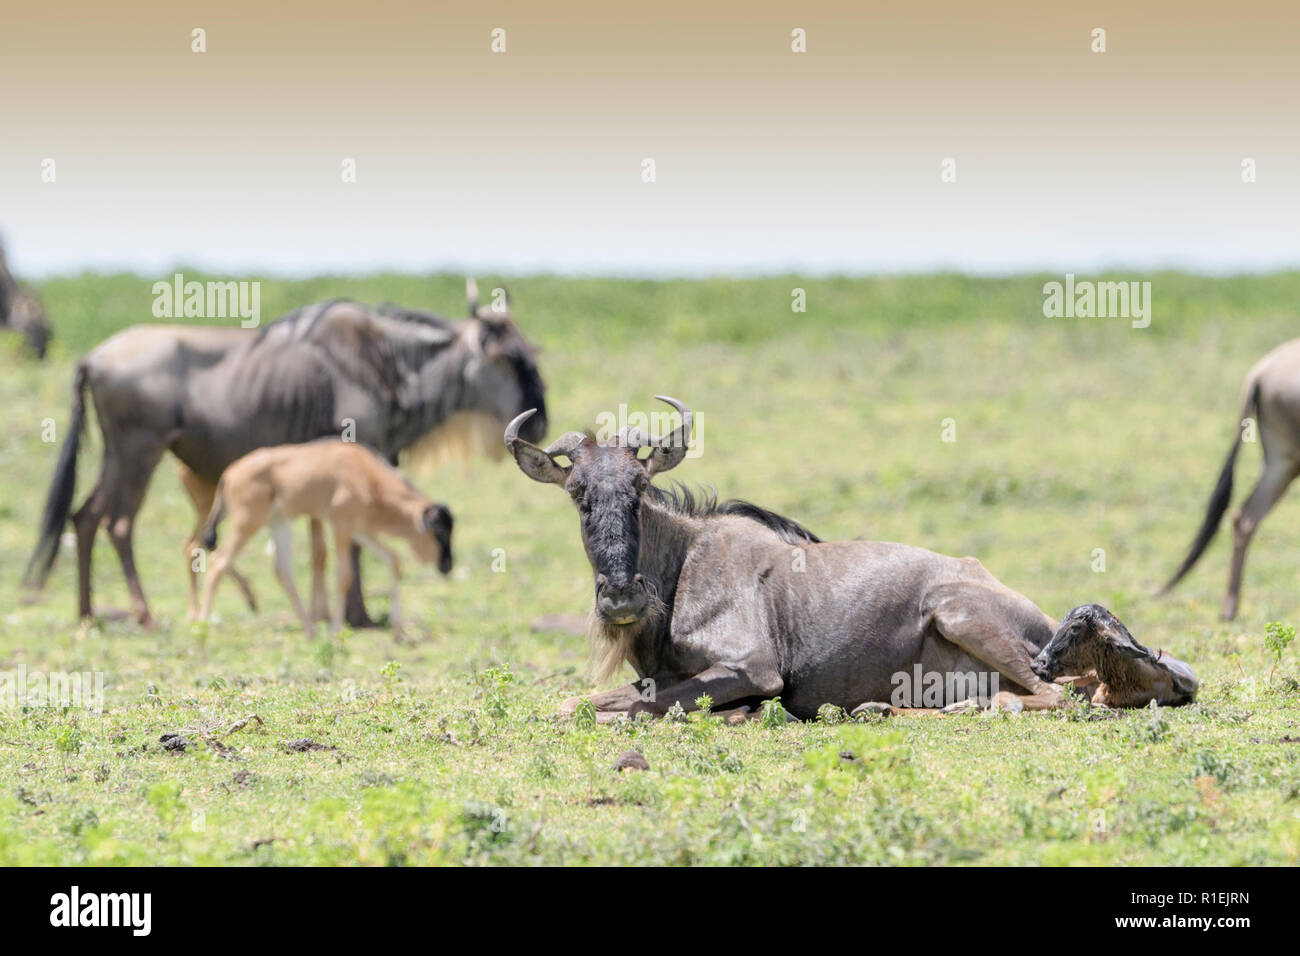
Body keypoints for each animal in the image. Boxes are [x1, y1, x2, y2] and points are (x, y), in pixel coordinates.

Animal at [195, 439, 452, 634]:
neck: (364, 473)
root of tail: (229, 474)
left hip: (278, 522)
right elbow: (344, 576)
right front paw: (336, 630)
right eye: (439, 531)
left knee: (282, 571)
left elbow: (393, 560)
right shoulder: (341, 527)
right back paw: (201, 626)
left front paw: (399, 630)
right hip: (248, 522)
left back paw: (310, 630)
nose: (447, 566)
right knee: (219, 561)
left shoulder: (359, 529)